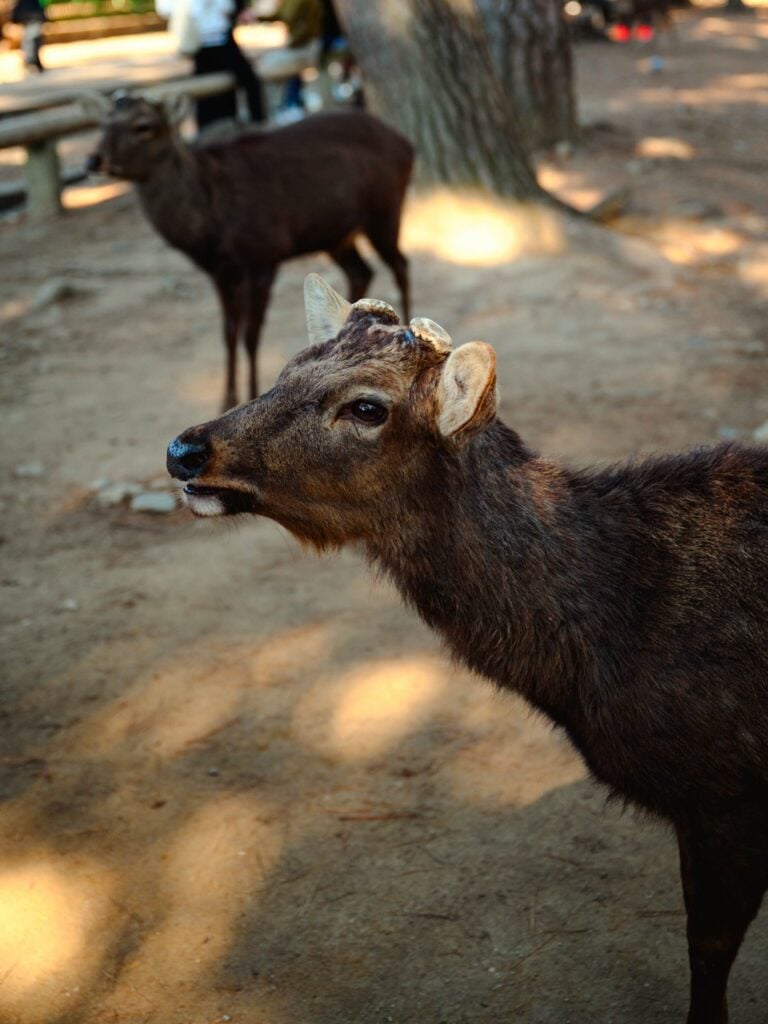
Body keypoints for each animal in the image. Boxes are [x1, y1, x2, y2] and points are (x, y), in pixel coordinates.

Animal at [82, 93, 413, 411]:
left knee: (400, 264)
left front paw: (251, 393)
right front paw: (226, 398)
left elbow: (250, 335)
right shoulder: (219, 272)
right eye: (102, 122)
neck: (209, 227)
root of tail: (406, 142)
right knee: (361, 271)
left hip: (385, 210)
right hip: (336, 236)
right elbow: (228, 332)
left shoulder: (263, 256)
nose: (93, 159)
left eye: (143, 126)